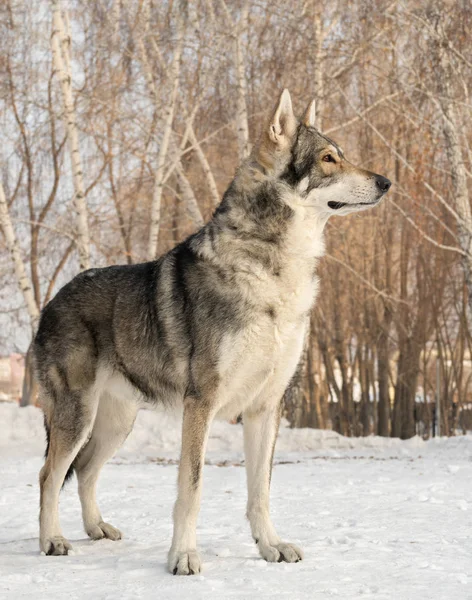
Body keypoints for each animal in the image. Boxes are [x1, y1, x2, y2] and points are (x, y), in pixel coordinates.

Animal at [35, 89, 390, 572]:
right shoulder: (200, 404)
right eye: (329, 158)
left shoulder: (266, 407)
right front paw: (183, 556)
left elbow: (260, 491)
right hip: (78, 417)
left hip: (116, 424)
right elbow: (192, 488)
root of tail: (51, 301)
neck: (274, 272)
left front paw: (270, 546)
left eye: (344, 155)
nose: (386, 181)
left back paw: (96, 529)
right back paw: (52, 540)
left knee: (85, 472)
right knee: (49, 475)